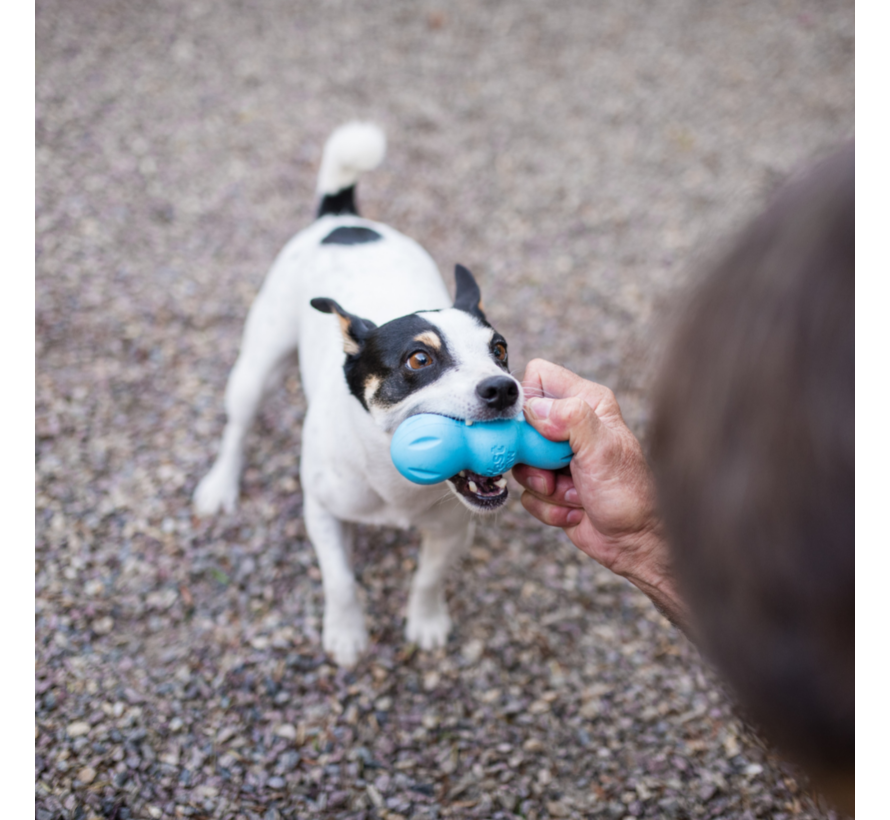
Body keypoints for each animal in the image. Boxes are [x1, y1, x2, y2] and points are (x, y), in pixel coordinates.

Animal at [193, 125, 520, 668]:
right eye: (419, 360)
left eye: (500, 350)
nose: (504, 388)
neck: (392, 477)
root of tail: (341, 218)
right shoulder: (322, 513)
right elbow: (340, 581)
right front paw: (346, 634)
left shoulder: (452, 529)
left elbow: (428, 578)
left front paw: (425, 623)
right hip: (256, 367)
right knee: (238, 426)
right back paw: (220, 485)